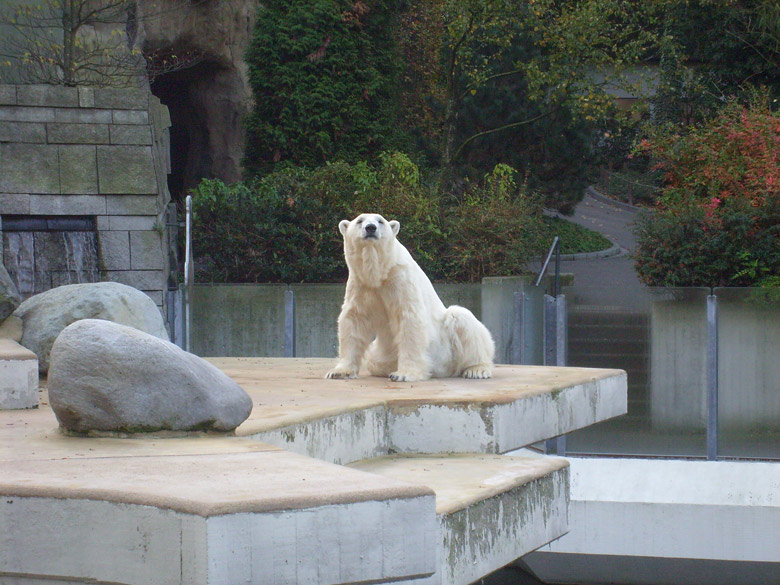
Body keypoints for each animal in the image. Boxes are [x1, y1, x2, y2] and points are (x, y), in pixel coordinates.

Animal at [322, 212, 494, 380]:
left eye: (380, 221)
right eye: (360, 220)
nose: (370, 228)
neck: (381, 272)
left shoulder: (400, 278)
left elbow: (409, 318)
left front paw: (403, 374)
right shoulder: (360, 283)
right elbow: (354, 319)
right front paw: (339, 371)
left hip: (446, 349)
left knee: (462, 318)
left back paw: (477, 369)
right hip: (381, 354)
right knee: (373, 361)